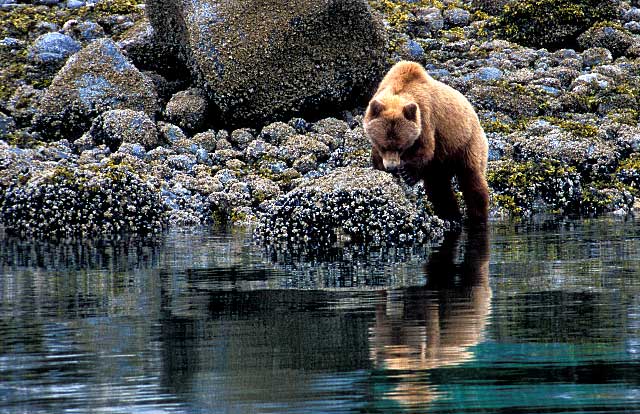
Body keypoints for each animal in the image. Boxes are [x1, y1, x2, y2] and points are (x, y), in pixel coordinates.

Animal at [364, 60, 490, 223]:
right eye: (383, 146)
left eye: (401, 147)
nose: (392, 167)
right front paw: (382, 167)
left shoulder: (425, 118)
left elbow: (426, 148)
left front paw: (407, 173)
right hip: (442, 162)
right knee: (438, 187)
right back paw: (450, 214)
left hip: (466, 143)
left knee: (472, 180)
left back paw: (477, 216)